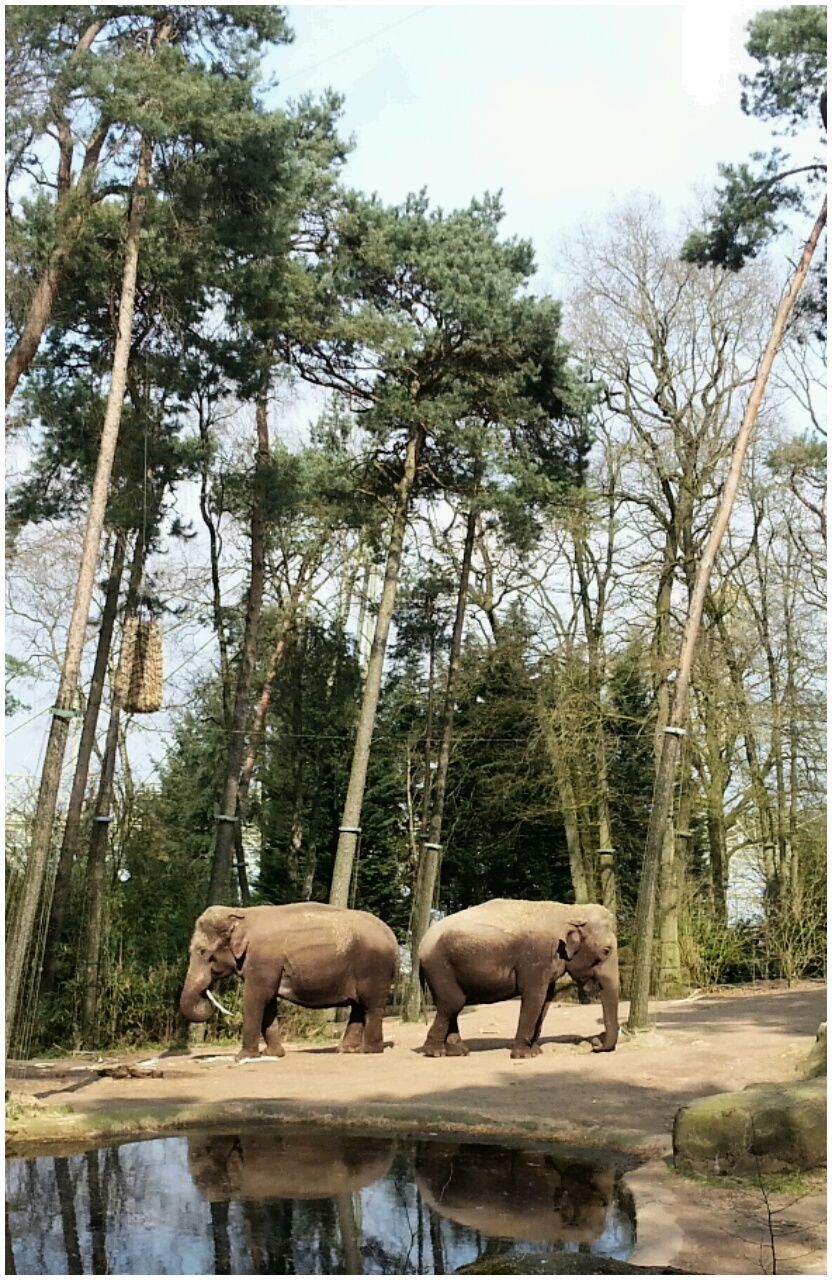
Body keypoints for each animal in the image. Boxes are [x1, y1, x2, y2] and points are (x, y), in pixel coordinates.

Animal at [180, 901, 399, 1059]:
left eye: (203, 952)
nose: (208, 994)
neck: (241, 914)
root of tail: (391, 935)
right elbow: (268, 1001)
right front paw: (273, 1054)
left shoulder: (263, 960)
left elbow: (255, 998)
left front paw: (243, 1057)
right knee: (358, 1006)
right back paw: (345, 1050)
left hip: (374, 968)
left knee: (371, 1005)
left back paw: (368, 1050)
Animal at [414, 896, 614, 1054]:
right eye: (606, 951)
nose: (596, 1043)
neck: (569, 911)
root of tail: (421, 946)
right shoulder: (535, 957)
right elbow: (534, 996)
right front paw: (524, 1054)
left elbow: (546, 1000)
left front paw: (536, 1050)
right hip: (439, 967)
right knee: (452, 1003)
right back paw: (435, 1052)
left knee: (453, 1005)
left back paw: (458, 1051)